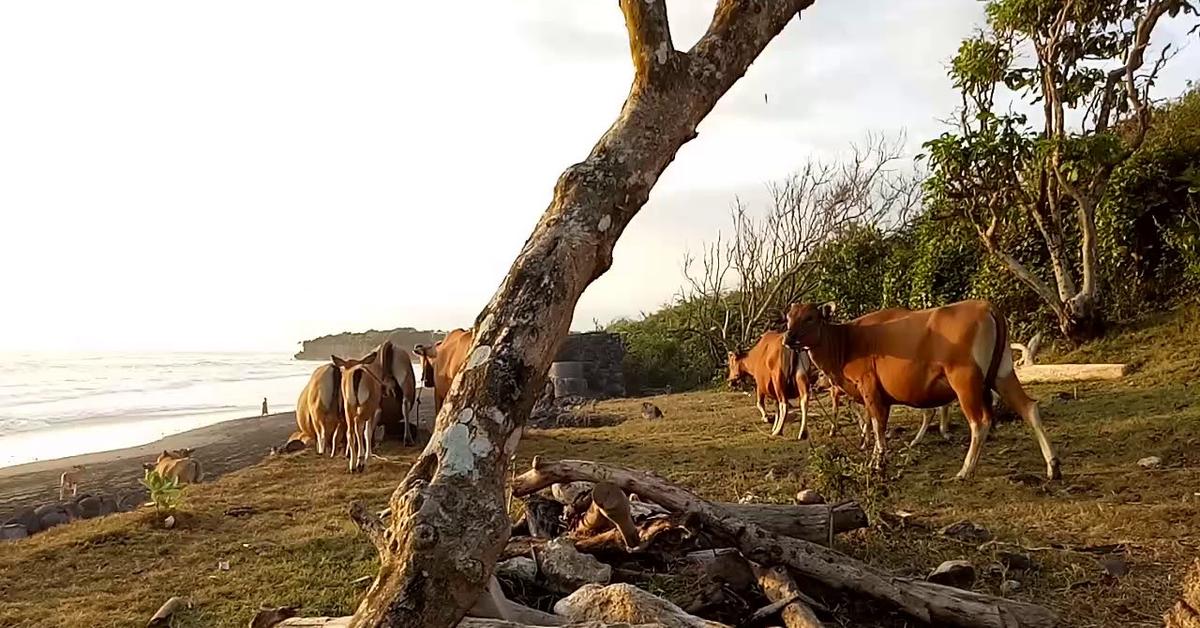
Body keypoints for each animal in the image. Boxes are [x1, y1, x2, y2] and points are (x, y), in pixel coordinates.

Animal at [787, 301, 1060, 482]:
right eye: (789, 317)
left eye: (810, 317)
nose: (788, 339)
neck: (846, 341)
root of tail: (986, 306)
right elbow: (872, 424)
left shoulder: (870, 388)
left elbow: (877, 425)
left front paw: (878, 462)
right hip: (1002, 373)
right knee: (1029, 408)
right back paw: (1053, 466)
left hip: (965, 380)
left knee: (980, 421)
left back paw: (965, 470)